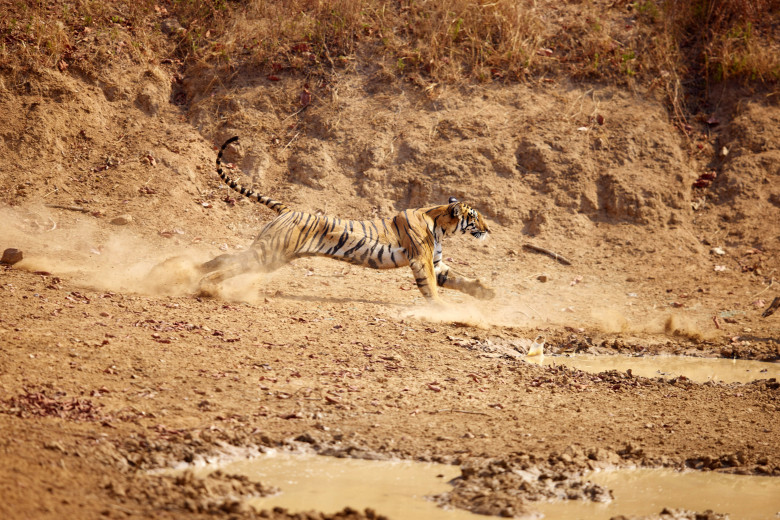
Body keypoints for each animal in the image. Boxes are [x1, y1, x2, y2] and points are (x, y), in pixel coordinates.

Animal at [198, 136, 496, 302]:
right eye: (476, 217)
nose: (488, 229)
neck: (442, 227)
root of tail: (287, 209)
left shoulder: (436, 262)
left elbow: (458, 279)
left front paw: (485, 292)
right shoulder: (421, 261)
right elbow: (431, 287)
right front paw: (442, 310)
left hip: (273, 253)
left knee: (226, 258)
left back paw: (191, 270)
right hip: (270, 252)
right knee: (231, 264)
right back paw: (205, 286)